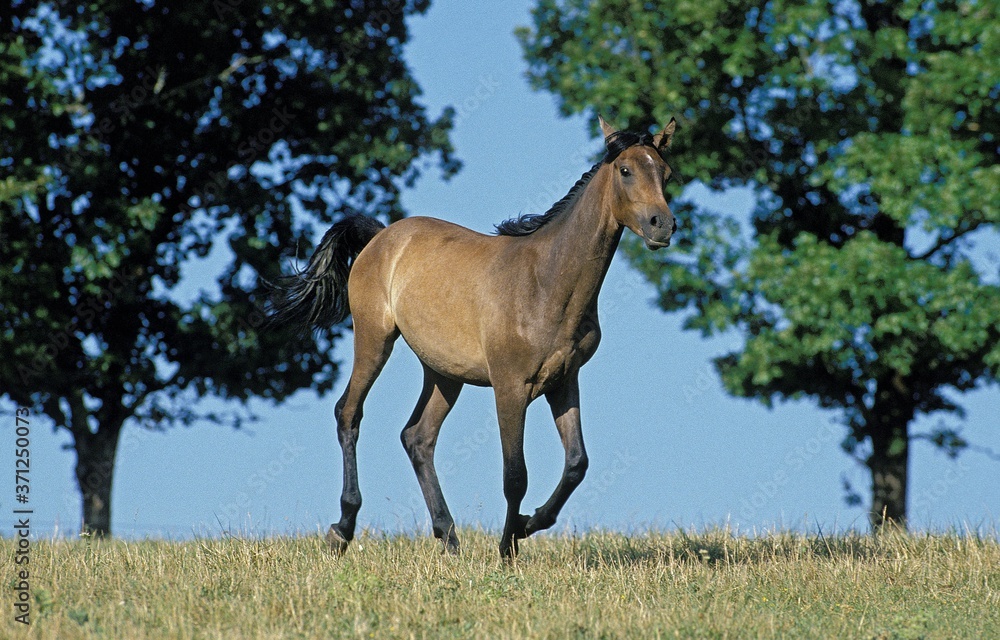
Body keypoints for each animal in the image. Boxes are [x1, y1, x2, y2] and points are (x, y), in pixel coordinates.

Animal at [268, 116, 678, 558]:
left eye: (666, 173)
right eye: (625, 170)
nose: (662, 226)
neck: (547, 283)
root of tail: (381, 237)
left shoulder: (564, 381)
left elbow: (576, 464)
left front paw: (529, 524)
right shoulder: (511, 386)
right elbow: (515, 475)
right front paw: (508, 547)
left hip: (444, 372)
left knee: (418, 437)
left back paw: (448, 537)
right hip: (375, 339)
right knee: (349, 413)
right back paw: (342, 529)